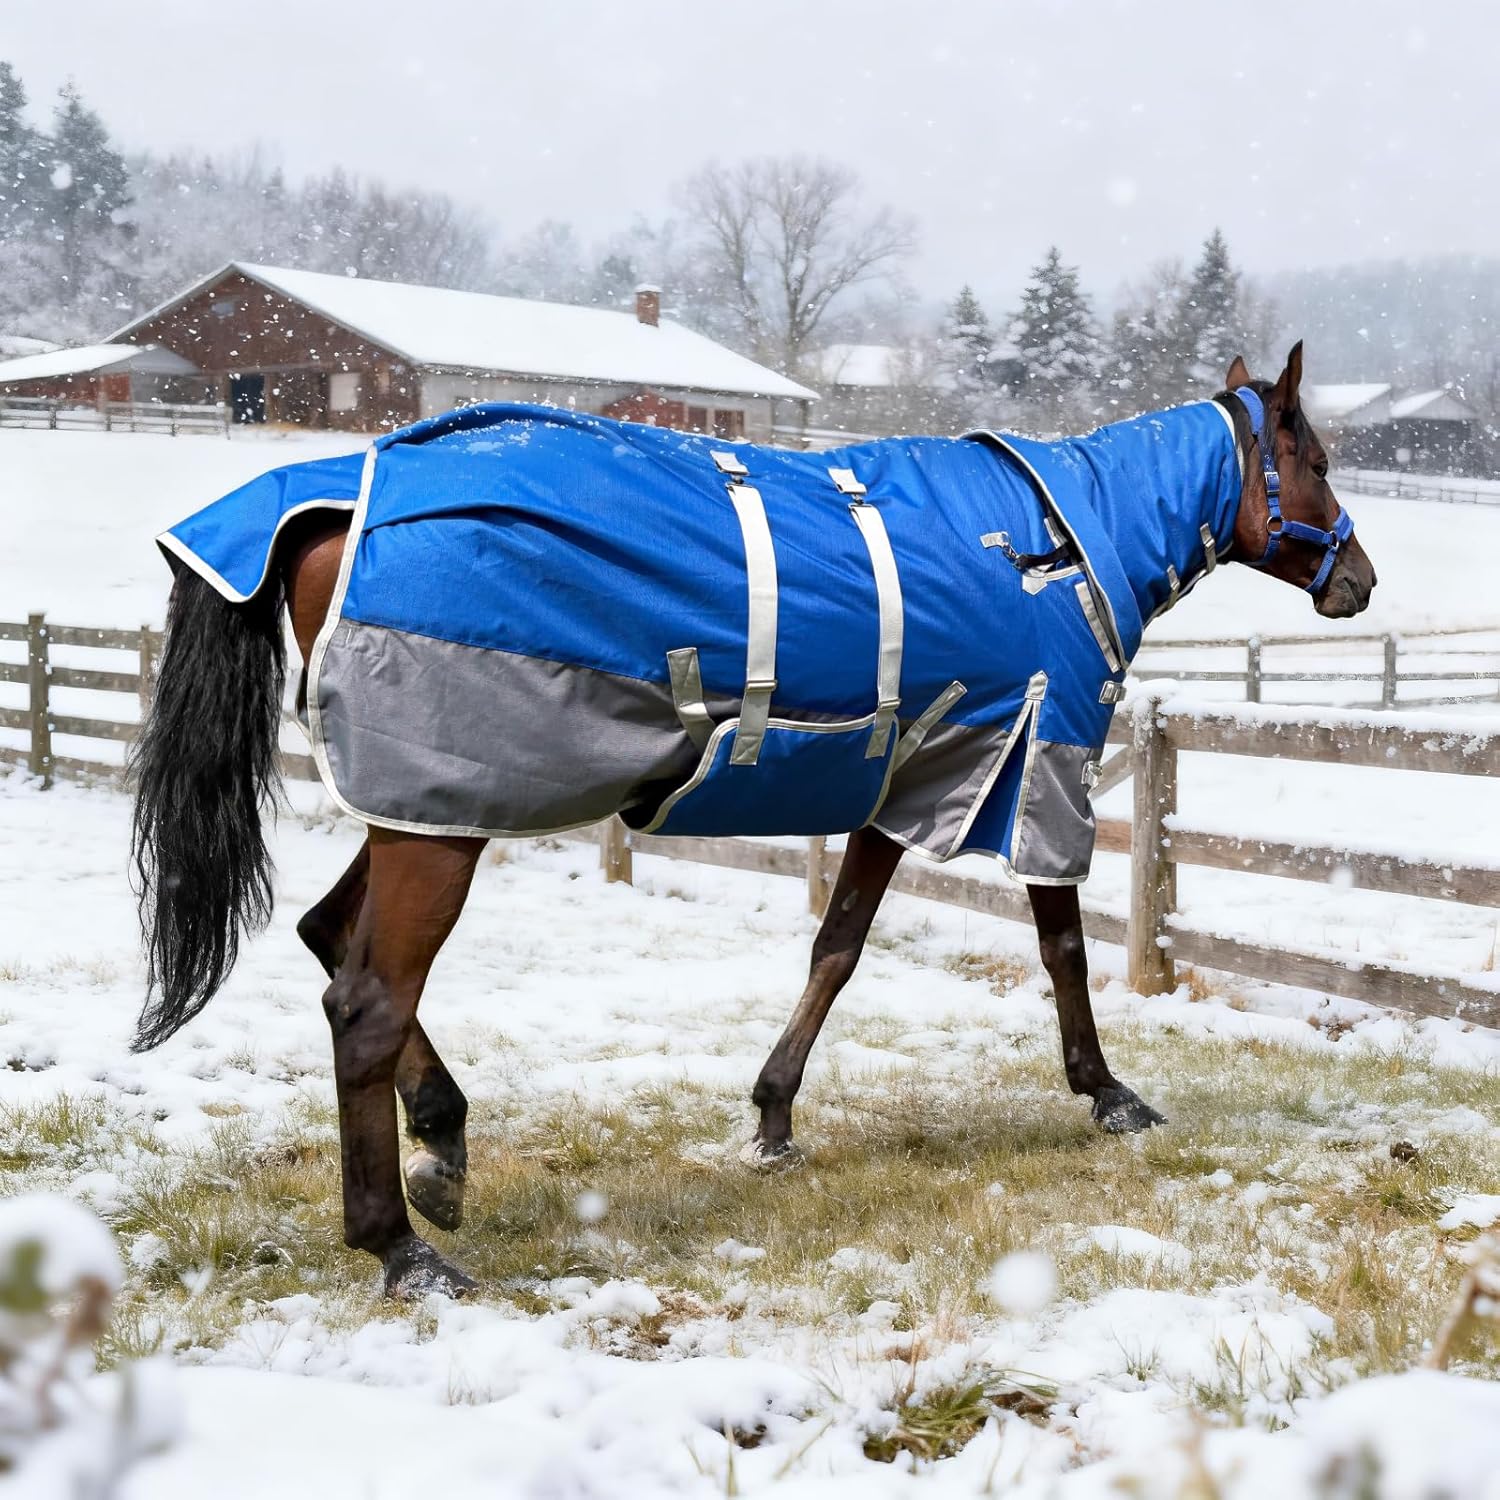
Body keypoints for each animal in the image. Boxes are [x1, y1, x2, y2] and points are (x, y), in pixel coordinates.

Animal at [129, 343, 1376, 1297]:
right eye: (1311, 459)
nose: (1357, 579)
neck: (1050, 545)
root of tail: (336, 493)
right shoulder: (1037, 770)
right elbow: (1063, 949)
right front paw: (1106, 1091)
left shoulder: (906, 788)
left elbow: (837, 947)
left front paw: (773, 1118)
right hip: (441, 818)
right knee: (367, 1002)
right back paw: (397, 1243)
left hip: (422, 809)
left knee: (328, 939)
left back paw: (442, 1142)